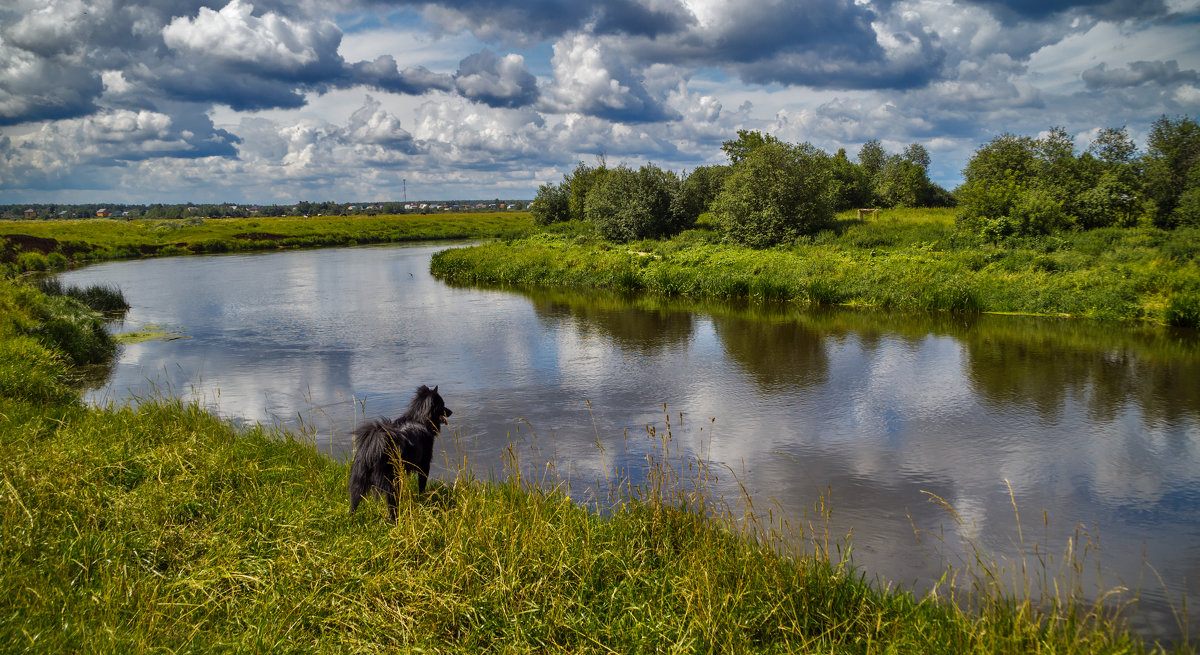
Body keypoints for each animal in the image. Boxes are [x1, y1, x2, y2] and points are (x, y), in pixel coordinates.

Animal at [352, 381, 456, 520]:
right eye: (443, 404)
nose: (451, 412)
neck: (419, 419)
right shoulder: (424, 464)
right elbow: (422, 485)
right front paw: (422, 500)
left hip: (359, 480)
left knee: (354, 502)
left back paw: (351, 519)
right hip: (391, 481)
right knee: (392, 505)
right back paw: (394, 520)